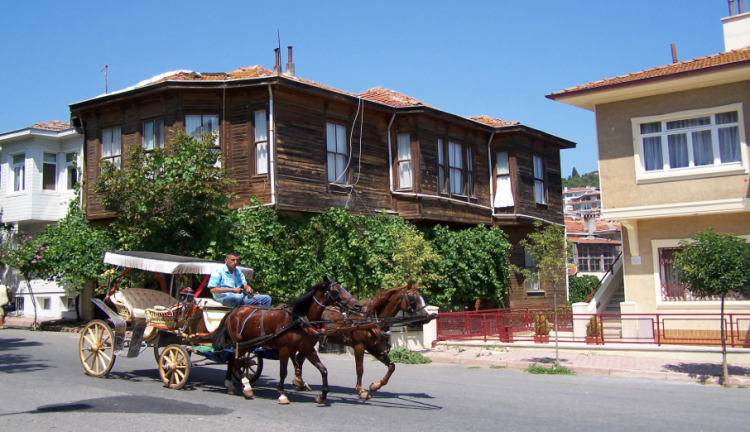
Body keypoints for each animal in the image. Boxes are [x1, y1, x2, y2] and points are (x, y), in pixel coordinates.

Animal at [213, 276, 362, 404]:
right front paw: (282, 394)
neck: (299, 319)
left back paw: (232, 384)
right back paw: (246, 386)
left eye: (344, 288)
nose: (358, 306)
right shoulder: (284, 349)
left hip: (246, 344)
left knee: (233, 359)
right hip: (240, 343)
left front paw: (322, 395)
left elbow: (323, 369)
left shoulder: (308, 349)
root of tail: (233, 311)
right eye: (336, 291)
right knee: (237, 361)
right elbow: (283, 372)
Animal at [296, 282, 434, 400]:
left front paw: (376, 385)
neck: (371, 319)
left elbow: (391, 366)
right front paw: (361, 391)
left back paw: (300, 382)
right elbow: (360, 369)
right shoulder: (359, 346)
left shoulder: (374, 348)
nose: (427, 316)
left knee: (300, 358)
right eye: (413, 299)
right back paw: (299, 381)